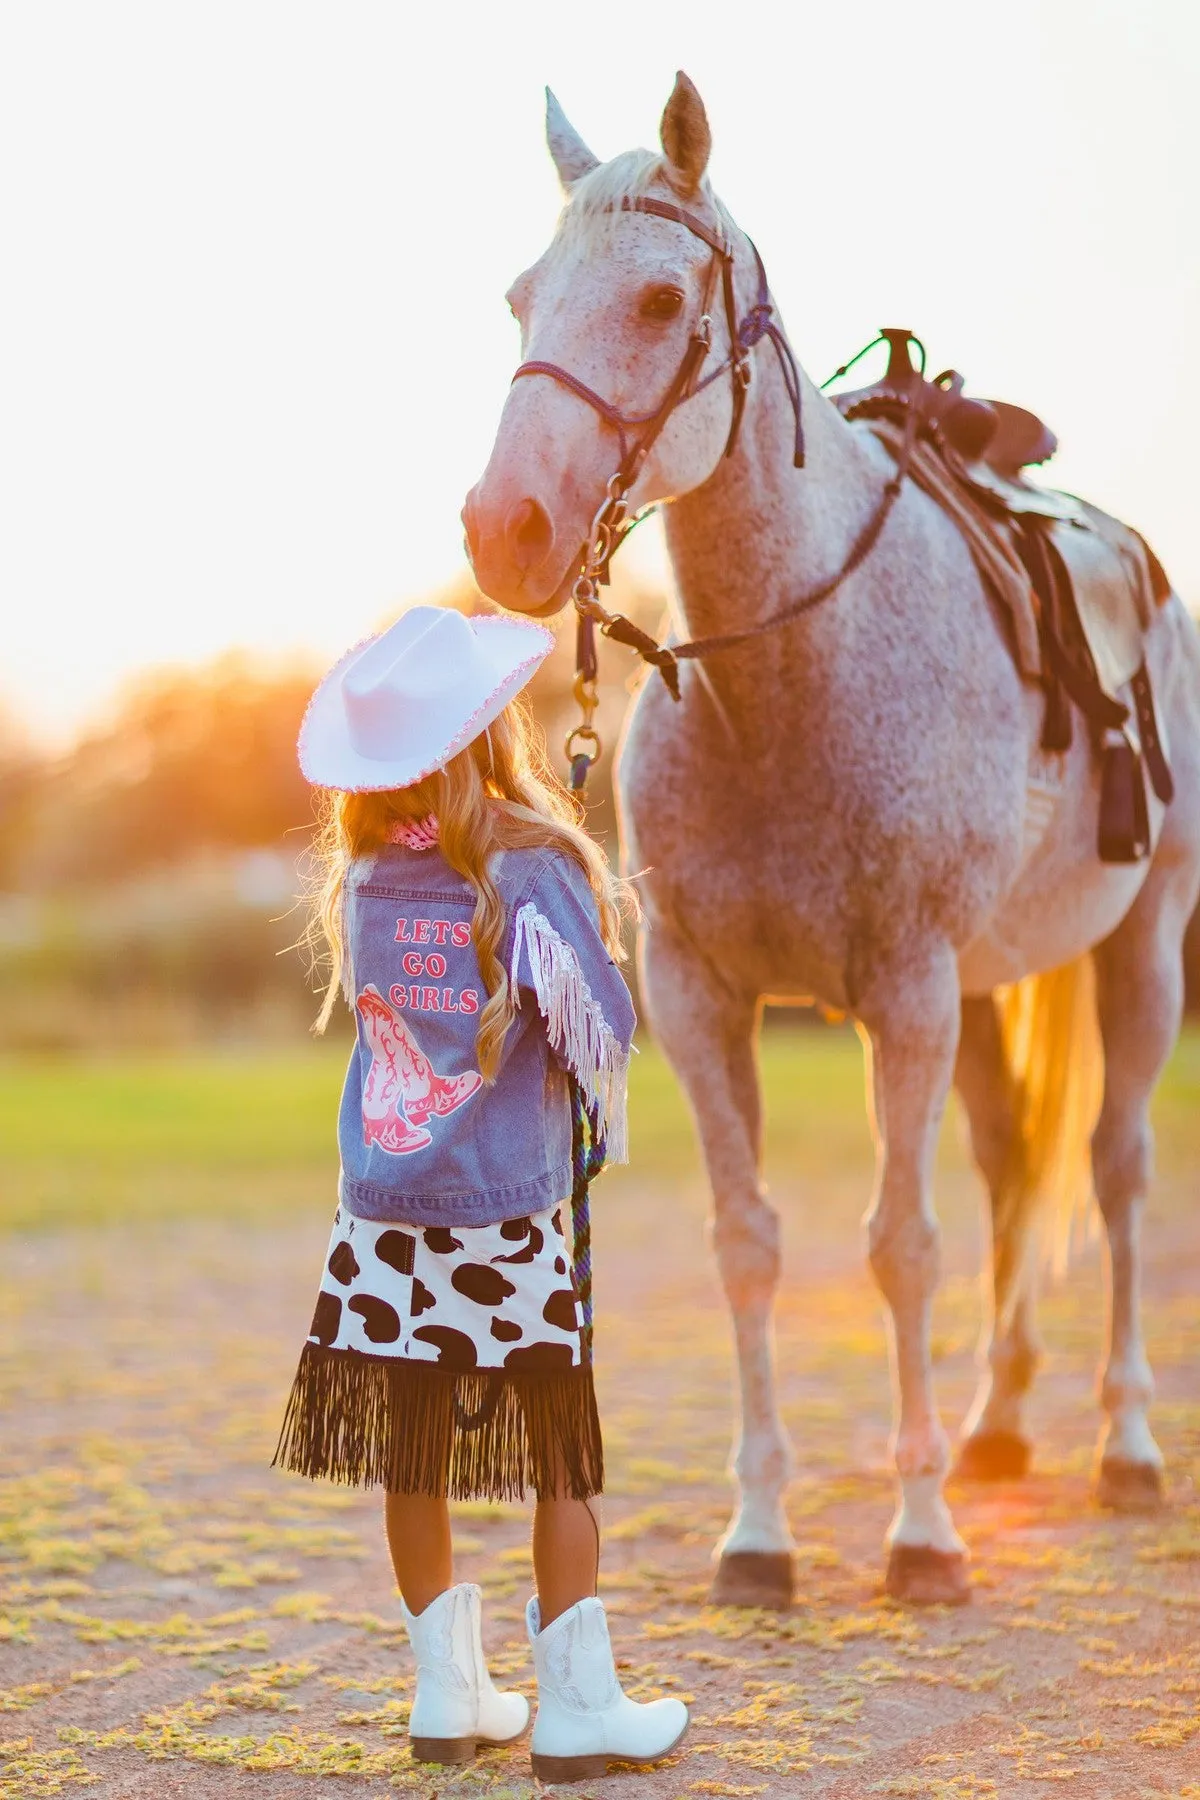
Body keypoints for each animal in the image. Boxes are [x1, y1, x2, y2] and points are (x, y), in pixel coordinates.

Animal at [464, 77, 1200, 1612]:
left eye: (660, 296)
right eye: (520, 297)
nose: (505, 529)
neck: (787, 679)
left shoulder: (905, 995)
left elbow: (899, 1248)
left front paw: (921, 1535)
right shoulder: (701, 999)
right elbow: (749, 1246)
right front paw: (760, 1530)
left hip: (1141, 948)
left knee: (1114, 1170)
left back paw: (1124, 1444)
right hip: (984, 990)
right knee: (1011, 1167)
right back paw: (994, 1425)